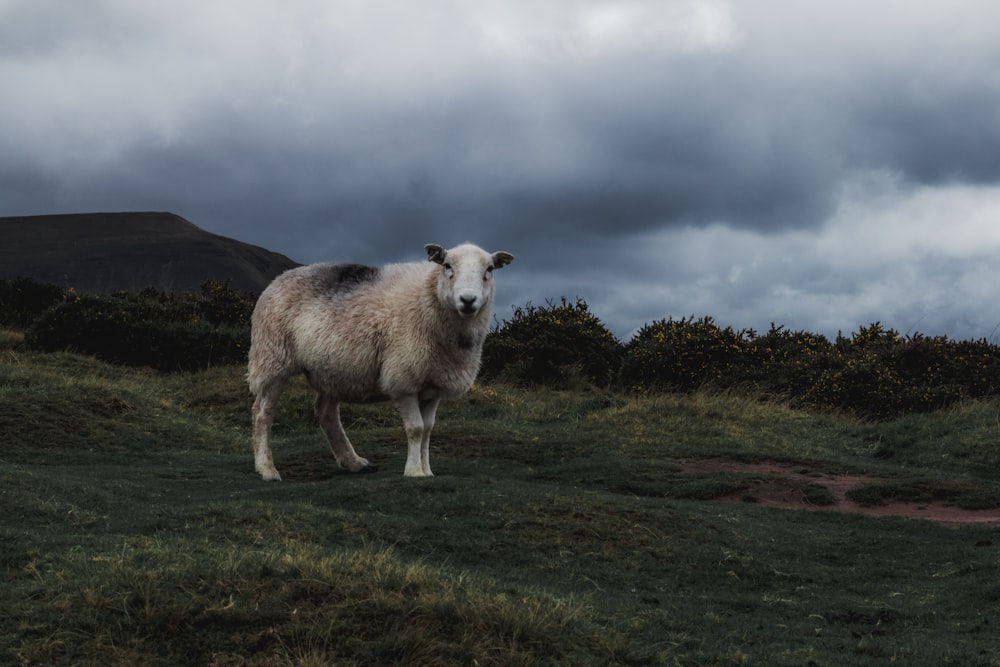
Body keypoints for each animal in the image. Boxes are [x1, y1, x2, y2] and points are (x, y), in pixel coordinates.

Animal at [245, 243, 512, 478]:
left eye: (489, 269)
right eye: (447, 265)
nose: (468, 300)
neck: (428, 299)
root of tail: (277, 280)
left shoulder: (433, 386)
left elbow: (428, 430)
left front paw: (427, 469)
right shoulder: (404, 380)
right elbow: (416, 429)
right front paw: (414, 472)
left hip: (333, 368)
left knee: (326, 413)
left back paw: (353, 462)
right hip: (272, 359)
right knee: (262, 413)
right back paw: (267, 469)